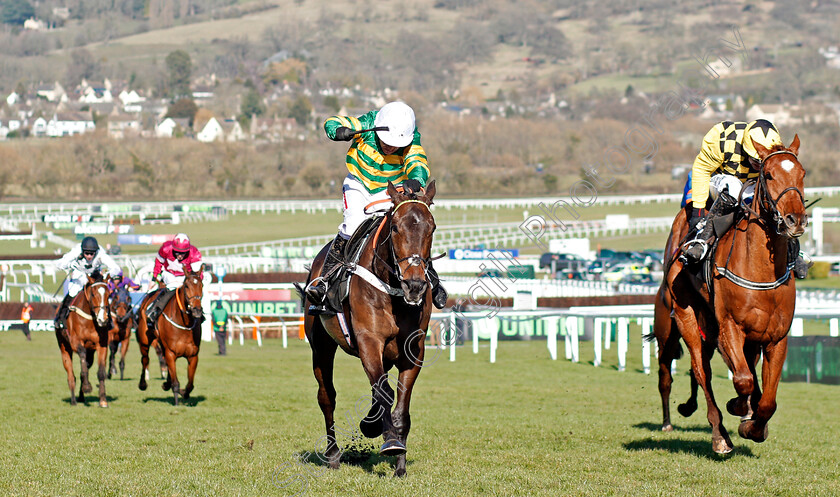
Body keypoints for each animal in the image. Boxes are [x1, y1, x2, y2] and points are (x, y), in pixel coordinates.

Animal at [56, 272, 113, 406]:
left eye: (108, 294)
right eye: (93, 294)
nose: (103, 319)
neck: (90, 319)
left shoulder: (101, 345)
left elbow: (100, 372)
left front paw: (103, 400)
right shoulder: (75, 342)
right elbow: (82, 359)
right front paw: (87, 387)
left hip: (90, 352)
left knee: (86, 365)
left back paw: (81, 397)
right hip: (64, 347)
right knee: (71, 374)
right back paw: (73, 400)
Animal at [152, 266, 204, 404]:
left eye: (202, 285)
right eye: (186, 286)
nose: (197, 310)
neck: (184, 323)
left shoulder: (193, 356)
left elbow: (190, 385)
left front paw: (183, 393)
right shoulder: (170, 352)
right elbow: (175, 382)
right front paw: (176, 400)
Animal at [298, 179, 436, 476]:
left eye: (431, 228)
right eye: (395, 227)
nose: (415, 285)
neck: (394, 292)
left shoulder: (412, 350)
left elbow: (399, 405)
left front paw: (400, 465)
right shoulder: (368, 341)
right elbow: (384, 393)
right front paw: (386, 438)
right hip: (321, 346)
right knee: (327, 397)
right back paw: (333, 454)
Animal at [648, 136, 808, 454]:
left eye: (802, 174)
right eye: (769, 175)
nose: (795, 220)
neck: (761, 271)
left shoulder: (775, 337)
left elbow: (767, 399)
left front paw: (755, 425)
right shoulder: (730, 328)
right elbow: (743, 380)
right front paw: (739, 409)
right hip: (681, 322)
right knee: (696, 372)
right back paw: (716, 434)